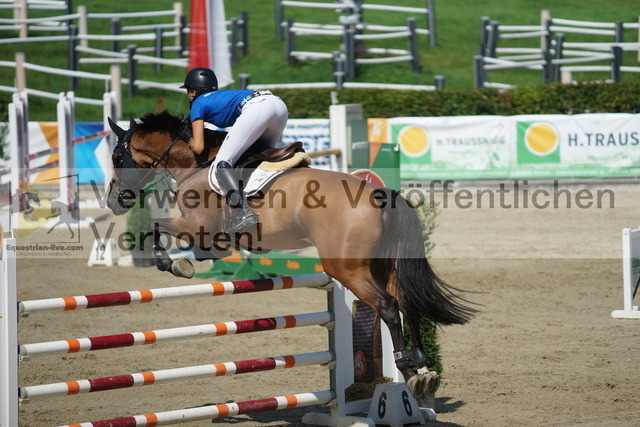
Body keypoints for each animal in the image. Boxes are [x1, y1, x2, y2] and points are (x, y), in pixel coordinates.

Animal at [105, 111, 475, 399]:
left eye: (115, 157)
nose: (114, 201)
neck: (194, 163)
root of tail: (380, 194)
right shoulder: (212, 236)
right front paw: (186, 260)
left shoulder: (198, 226)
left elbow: (155, 226)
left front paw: (171, 263)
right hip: (380, 266)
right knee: (407, 301)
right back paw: (424, 369)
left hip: (348, 270)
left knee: (388, 306)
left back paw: (407, 370)